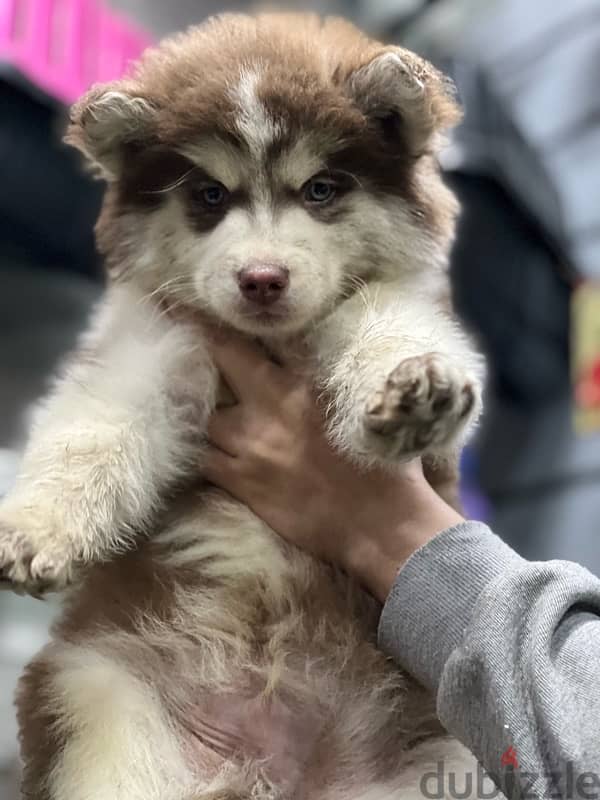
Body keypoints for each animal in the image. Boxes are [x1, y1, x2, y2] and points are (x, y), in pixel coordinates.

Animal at [1, 14, 488, 800]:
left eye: (320, 188)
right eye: (208, 195)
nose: (262, 278)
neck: (273, 344)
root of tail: (262, 772)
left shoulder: (400, 306)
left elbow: (389, 323)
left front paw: (416, 385)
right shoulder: (151, 351)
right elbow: (96, 431)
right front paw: (36, 526)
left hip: (437, 763)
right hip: (100, 706)